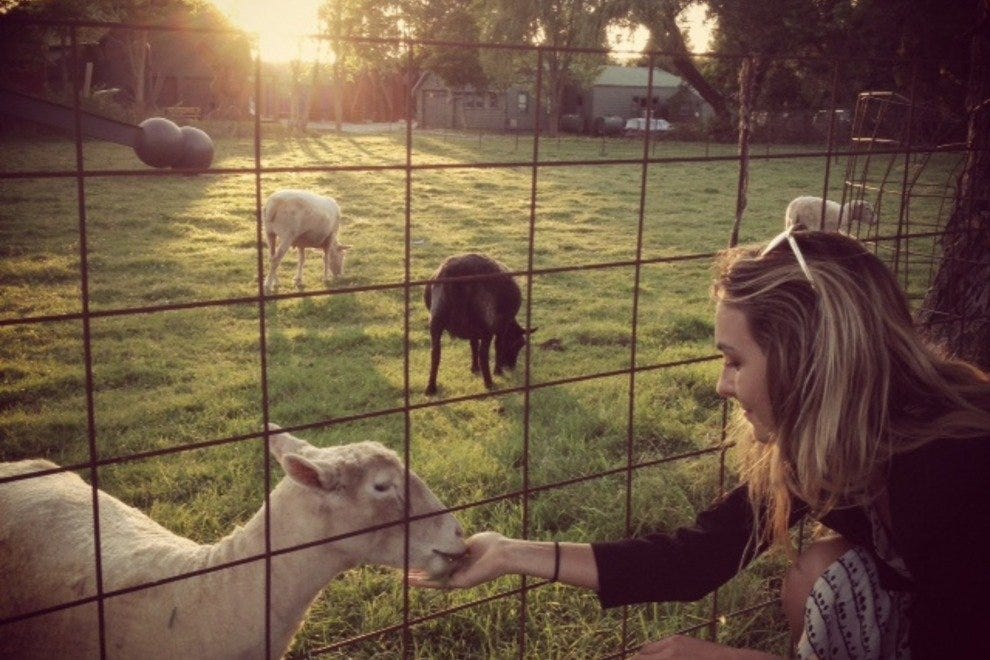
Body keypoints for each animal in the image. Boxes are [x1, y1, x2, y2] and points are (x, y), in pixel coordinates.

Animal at [424, 253, 535, 395]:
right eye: (519, 344)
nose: (511, 366)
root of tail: (457, 274)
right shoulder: (501, 325)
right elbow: (498, 345)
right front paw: (498, 371)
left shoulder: (473, 330)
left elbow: (473, 345)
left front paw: (474, 368)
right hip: (485, 324)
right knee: (483, 354)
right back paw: (489, 383)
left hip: (436, 320)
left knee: (435, 354)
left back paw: (431, 387)